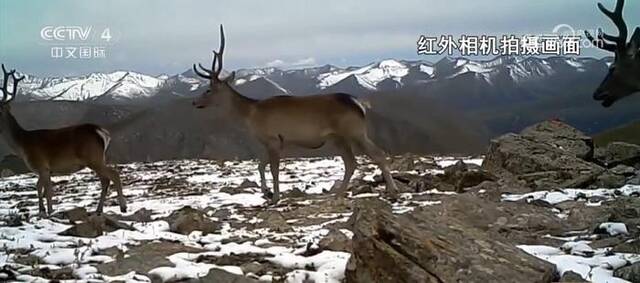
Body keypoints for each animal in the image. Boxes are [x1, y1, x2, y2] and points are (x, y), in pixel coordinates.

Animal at [0, 65, 126, 217]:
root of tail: (102, 132)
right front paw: (42, 210)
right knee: (106, 180)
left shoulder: (42, 165)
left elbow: (47, 190)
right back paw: (99, 210)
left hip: (93, 158)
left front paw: (49, 211)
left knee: (113, 175)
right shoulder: (46, 170)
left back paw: (122, 207)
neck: (22, 144)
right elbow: (39, 187)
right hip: (99, 158)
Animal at [192, 25, 398, 204]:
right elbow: (260, 165)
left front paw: (275, 197)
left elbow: (274, 169)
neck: (251, 114)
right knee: (351, 162)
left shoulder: (273, 139)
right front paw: (266, 192)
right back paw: (338, 193)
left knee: (378, 154)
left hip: (355, 131)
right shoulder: (272, 142)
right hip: (338, 137)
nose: (194, 102)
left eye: (208, 90)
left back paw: (392, 190)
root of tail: (360, 104)